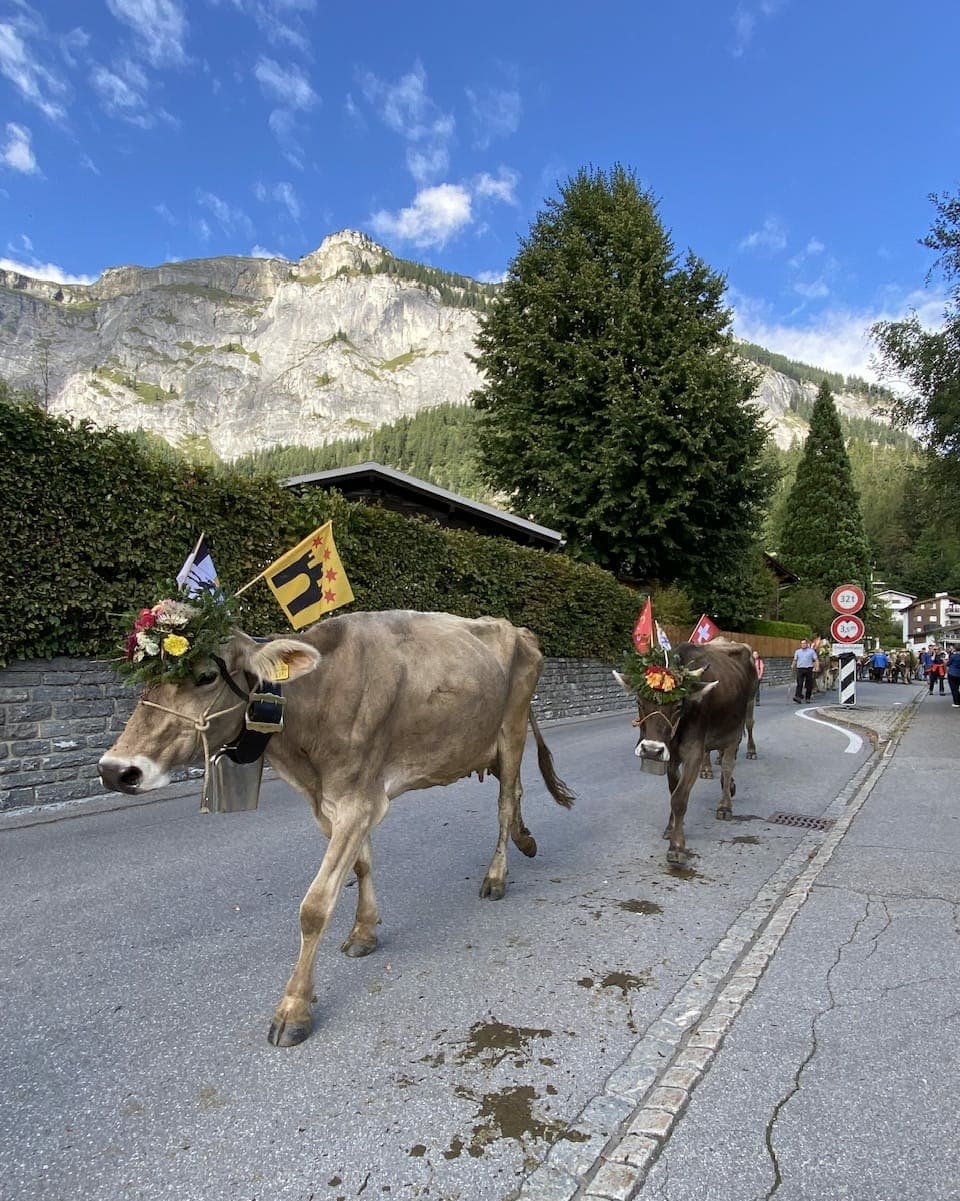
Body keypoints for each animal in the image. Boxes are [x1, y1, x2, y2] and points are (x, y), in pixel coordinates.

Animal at [100, 610, 574, 1042]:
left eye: (205, 676)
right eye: (143, 681)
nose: (115, 771)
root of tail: (517, 628)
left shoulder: (358, 801)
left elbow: (314, 907)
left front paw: (293, 1009)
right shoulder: (331, 804)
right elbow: (361, 866)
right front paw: (364, 931)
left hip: (511, 729)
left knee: (504, 803)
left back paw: (497, 876)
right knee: (515, 795)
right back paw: (526, 841)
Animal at [615, 638, 759, 864]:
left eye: (677, 705)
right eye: (639, 701)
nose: (651, 750)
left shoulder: (694, 753)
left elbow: (679, 798)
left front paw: (677, 846)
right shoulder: (671, 756)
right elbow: (672, 790)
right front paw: (671, 827)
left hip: (739, 722)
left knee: (729, 763)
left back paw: (725, 804)